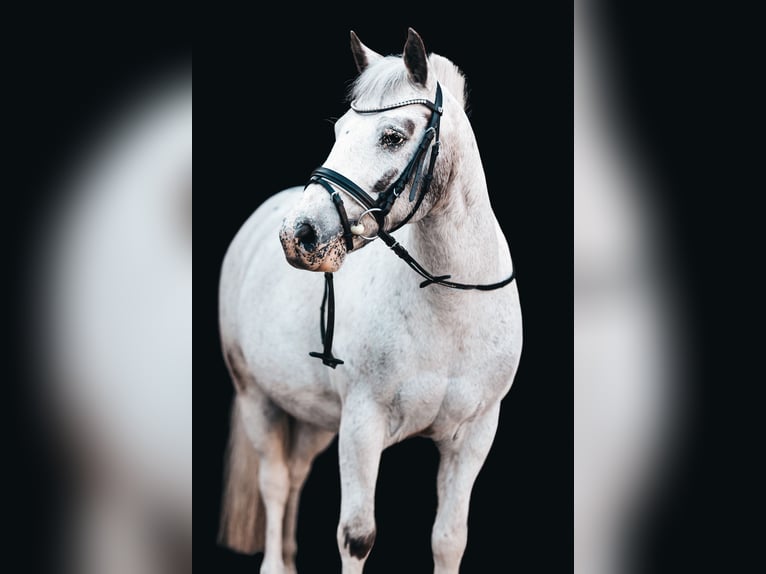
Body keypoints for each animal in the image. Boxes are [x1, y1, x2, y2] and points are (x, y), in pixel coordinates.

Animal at [217, 28, 523, 574]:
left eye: (393, 136)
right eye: (340, 130)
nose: (298, 235)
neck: (449, 307)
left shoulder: (474, 434)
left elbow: (449, 539)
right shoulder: (362, 424)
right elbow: (356, 537)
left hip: (314, 417)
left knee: (295, 475)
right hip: (257, 397)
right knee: (275, 482)